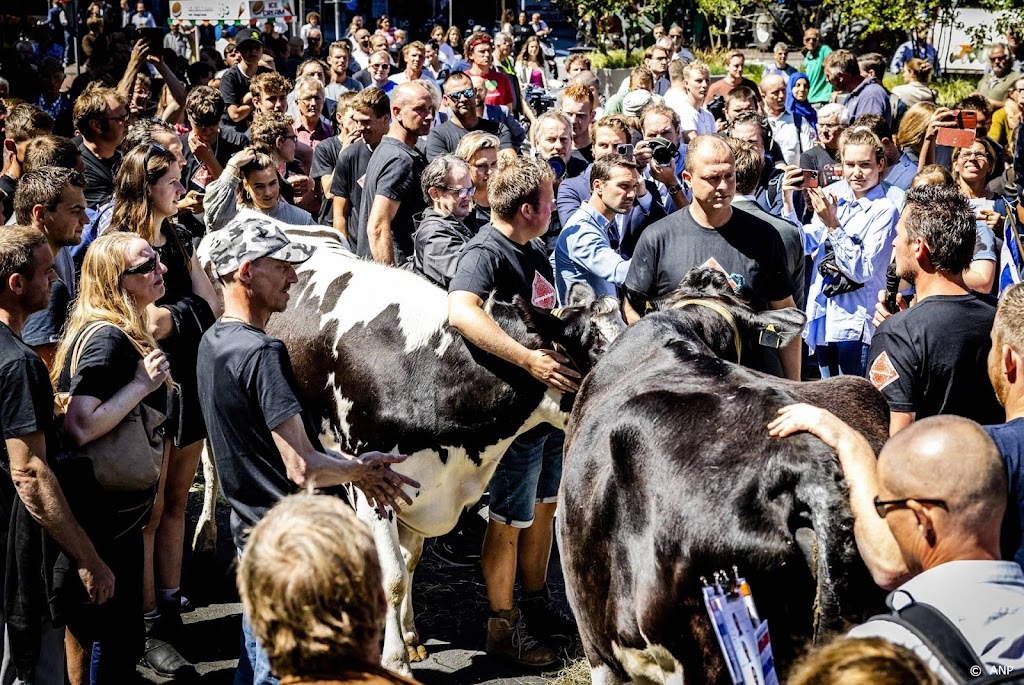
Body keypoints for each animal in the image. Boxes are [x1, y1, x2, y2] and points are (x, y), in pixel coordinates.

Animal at [211, 220, 622, 671]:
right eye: (597, 349)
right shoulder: (369, 482)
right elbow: (390, 576)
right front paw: (394, 661)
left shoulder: (424, 486)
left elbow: (409, 563)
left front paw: (410, 637)